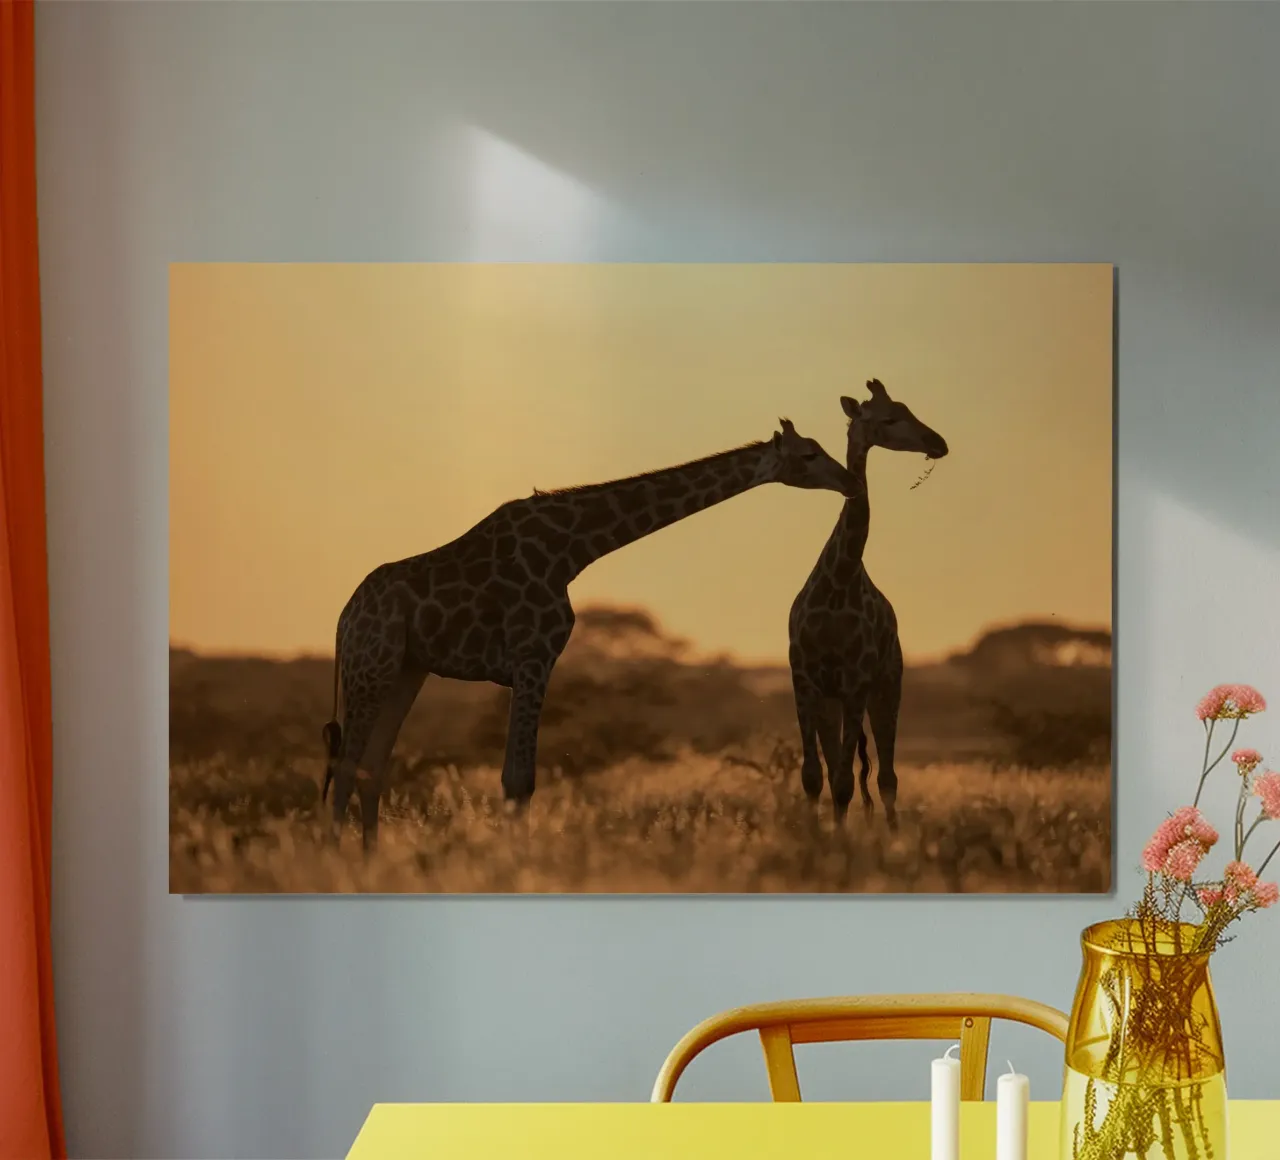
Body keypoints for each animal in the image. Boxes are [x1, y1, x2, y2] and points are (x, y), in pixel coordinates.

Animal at [321, 419, 853, 850]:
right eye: (809, 454)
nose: (848, 480)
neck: (574, 548)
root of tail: (344, 618)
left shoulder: (530, 663)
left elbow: (518, 780)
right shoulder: (533, 656)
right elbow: (518, 779)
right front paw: (516, 863)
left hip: (406, 670)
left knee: (369, 769)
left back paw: (370, 859)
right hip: (372, 665)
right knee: (344, 766)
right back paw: (337, 860)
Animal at [787, 379, 948, 829]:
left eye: (908, 410)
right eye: (890, 418)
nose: (939, 443)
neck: (838, 582)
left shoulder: (857, 681)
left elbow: (845, 783)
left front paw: (842, 842)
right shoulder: (804, 679)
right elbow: (814, 776)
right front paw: (815, 837)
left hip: (888, 685)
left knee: (887, 777)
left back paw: (892, 837)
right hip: (834, 700)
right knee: (842, 771)